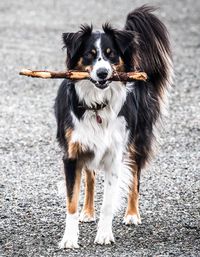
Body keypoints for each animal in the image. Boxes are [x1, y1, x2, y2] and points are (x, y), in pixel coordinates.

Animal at [54, 5, 172, 247]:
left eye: (111, 54)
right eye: (89, 55)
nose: (102, 73)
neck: (97, 104)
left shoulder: (114, 155)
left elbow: (108, 202)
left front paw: (104, 235)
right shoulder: (72, 154)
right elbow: (72, 201)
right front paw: (69, 239)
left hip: (137, 141)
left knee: (135, 177)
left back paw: (132, 214)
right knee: (90, 177)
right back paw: (88, 212)